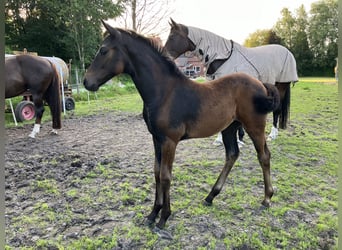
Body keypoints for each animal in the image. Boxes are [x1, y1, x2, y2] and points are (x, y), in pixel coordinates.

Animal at [83, 21, 280, 232]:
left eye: (103, 50)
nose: (87, 82)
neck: (164, 92)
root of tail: (261, 84)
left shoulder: (170, 140)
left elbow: (166, 175)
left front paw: (164, 217)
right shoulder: (156, 138)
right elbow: (157, 172)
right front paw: (153, 213)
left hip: (254, 126)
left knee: (264, 156)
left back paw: (267, 198)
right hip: (229, 127)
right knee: (232, 154)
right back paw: (210, 196)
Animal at [164, 18, 298, 142]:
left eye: (172, 36)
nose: (165, 54)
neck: (221, 58)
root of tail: (287, 51)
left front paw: (239, 140)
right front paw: (220, 139)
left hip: (281, 86)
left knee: (277, 110)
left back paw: (272, 135)